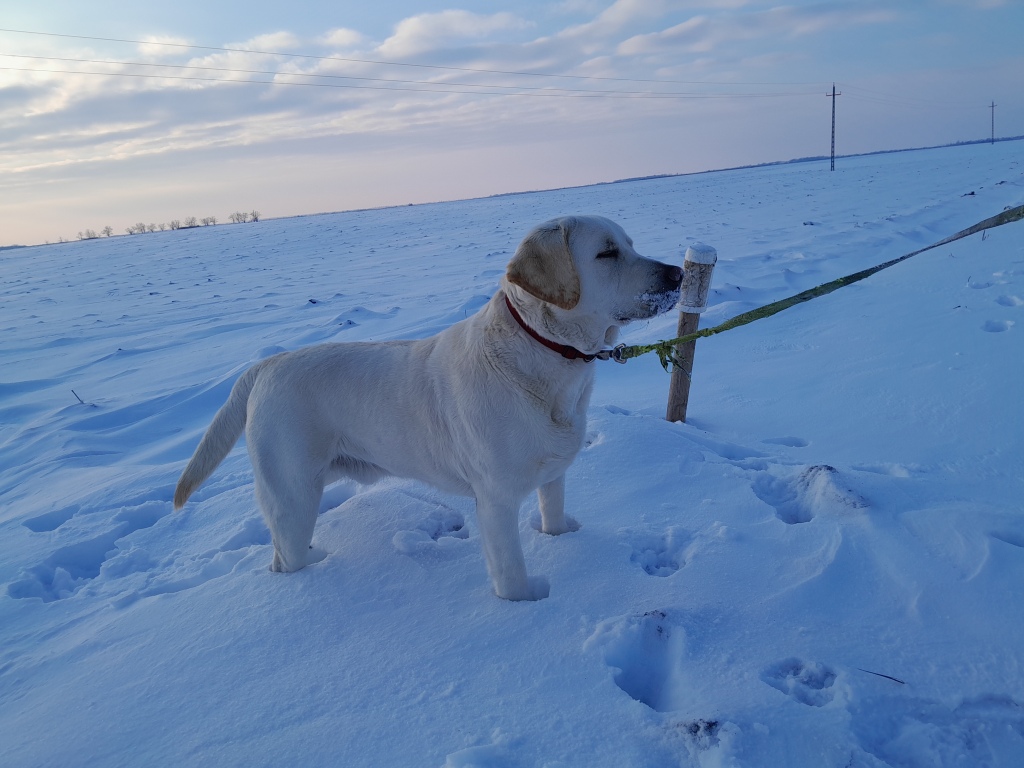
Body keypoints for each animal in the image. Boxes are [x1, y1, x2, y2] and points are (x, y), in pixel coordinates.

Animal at [174, 215, 682, 600]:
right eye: (607, 253)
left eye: (630, 244)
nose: (677, 273)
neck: (545, 356)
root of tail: (266, 364)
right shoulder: (496, 498)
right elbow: (510, 572)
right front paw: (526, 603)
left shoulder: (553, 474)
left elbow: (553, 517)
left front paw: (562, 541)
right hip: (292, 496)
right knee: (284, 558)